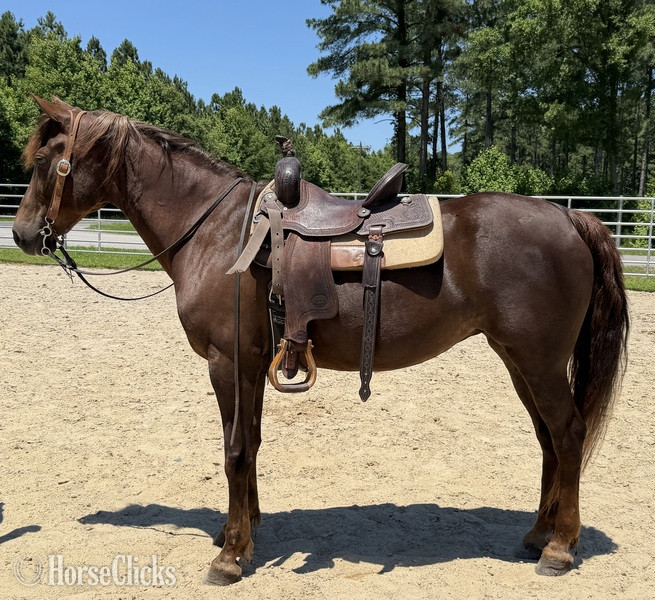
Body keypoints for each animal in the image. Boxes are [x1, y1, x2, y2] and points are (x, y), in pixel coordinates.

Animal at [12, 96, 629, 584]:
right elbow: (252, 443)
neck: (218, 233)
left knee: (569, 434)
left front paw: (230, 555)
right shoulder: (253, 363)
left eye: (44, 162)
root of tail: (571, 221)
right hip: (519, 360)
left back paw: (559, 548)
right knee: (548, 440)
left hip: (538, 360)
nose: (20, 235)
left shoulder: (226, 362)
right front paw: (245, 532)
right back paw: (536, 534)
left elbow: (234, 449)